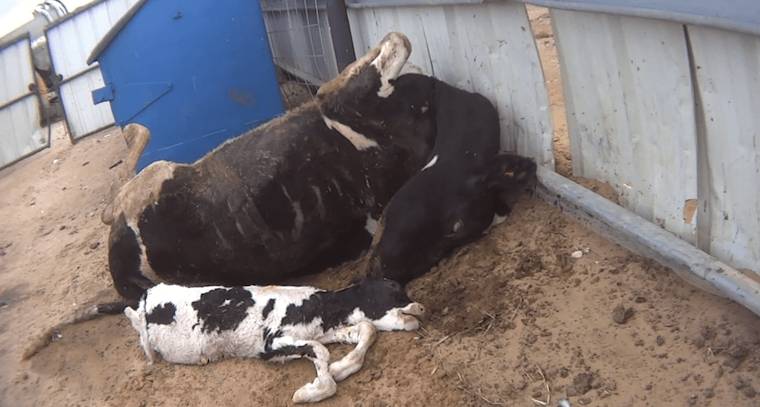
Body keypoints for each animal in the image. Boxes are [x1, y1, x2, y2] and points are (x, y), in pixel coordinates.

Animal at [102, 32, 439, 302]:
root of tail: (126, 279)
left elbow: (395, 48)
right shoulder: (338, 97)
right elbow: (393, 48)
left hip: (151, 179)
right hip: (152, 176)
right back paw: (134, 131)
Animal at [123, 278, 424, 403]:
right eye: (392, 293)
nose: (420, 308)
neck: (321, 307)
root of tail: (147, 298)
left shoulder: (319, 333)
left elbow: (365, 329)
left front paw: (339, 369)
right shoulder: (271, 344)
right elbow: (321, 352)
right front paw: (310, 392)